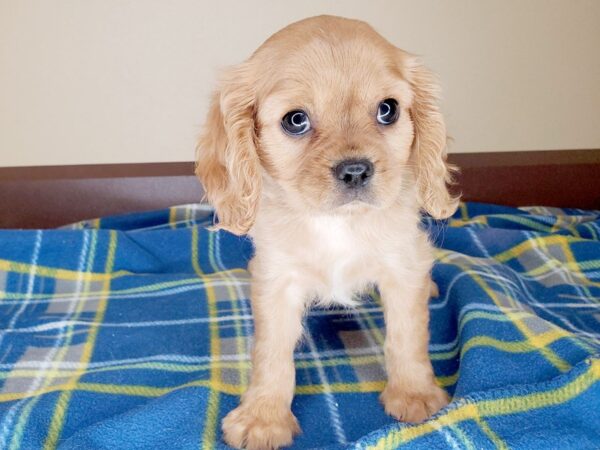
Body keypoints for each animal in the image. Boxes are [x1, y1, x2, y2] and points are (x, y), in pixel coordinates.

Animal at [197, 14, 460, 450]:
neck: (338, 223)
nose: (355, 170)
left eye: (387, 110)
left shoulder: (402, 268)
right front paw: (263, 417)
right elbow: (271, 352)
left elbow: (407, 336)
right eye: (296, 120)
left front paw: (414, 394)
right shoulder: (277, 281)